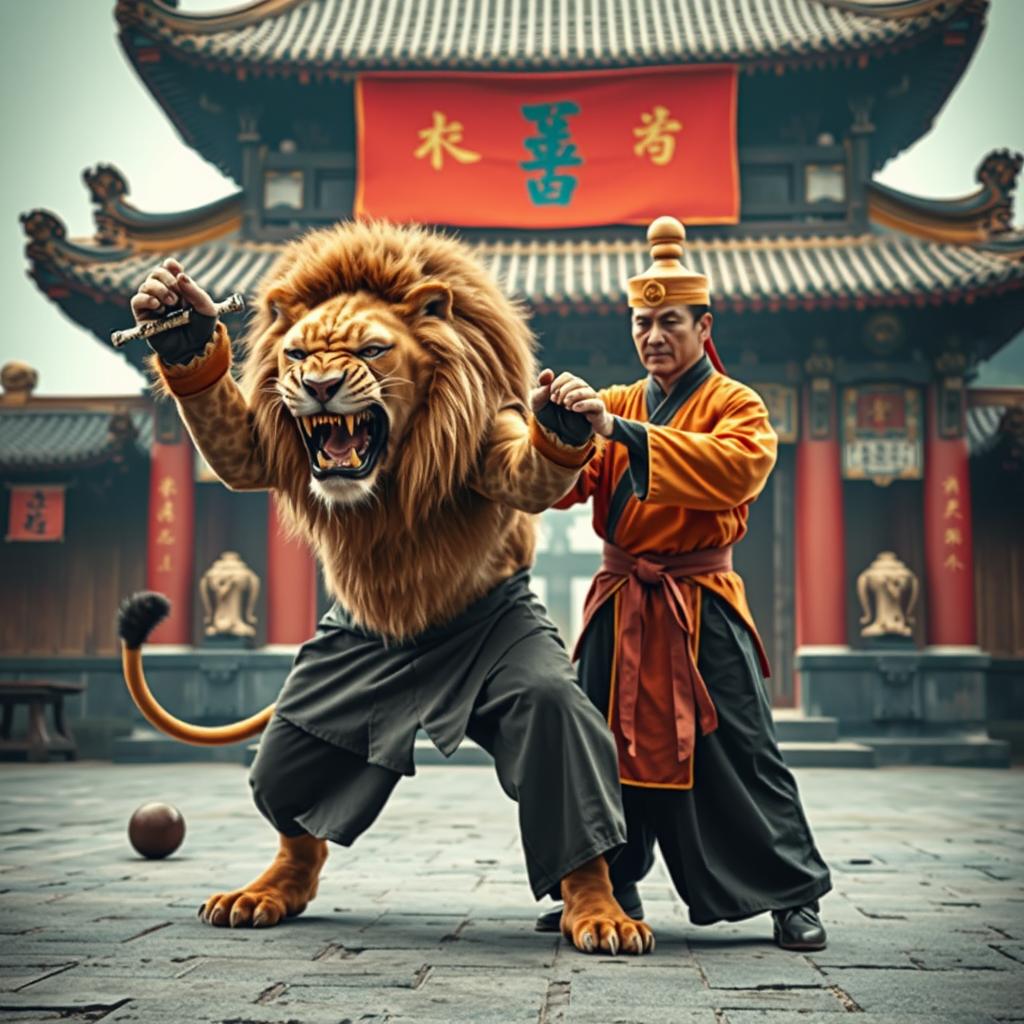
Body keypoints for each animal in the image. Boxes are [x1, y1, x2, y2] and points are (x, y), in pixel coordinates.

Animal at [119, 220, 654, 956]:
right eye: (297, 354)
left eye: (372, 349)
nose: (318, 386)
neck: (389, 482)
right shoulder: (265, 445)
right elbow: (238, 454)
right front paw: (178, 323)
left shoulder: (487, 440)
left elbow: (527, 472)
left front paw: (566, 415)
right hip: (320, 701)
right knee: (290, 784)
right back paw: (264, 895)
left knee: (563, 753)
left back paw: (599, 915)